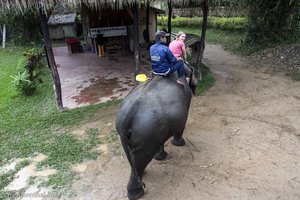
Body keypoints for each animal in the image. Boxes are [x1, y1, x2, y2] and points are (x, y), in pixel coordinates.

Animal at [115, 71, 197, 199]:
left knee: (132, 154)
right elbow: (182, 123)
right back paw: (138, 193)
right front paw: (180, 144)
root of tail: (129, 114)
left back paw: (141, 177)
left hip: (135, 132)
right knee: (143, 155)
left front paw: (160, 157)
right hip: (146, 132)